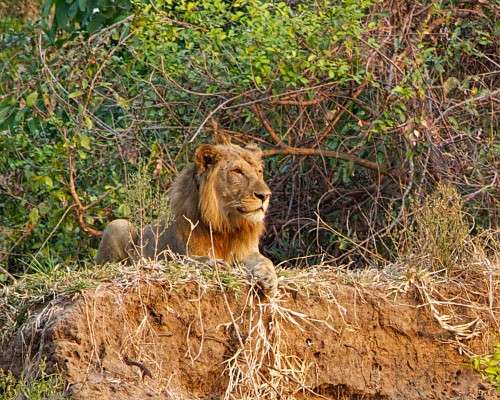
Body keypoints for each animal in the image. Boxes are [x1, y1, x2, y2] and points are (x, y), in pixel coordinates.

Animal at [95, 142, 280, 296]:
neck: (226, 224)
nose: (265, 195)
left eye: (259, 172)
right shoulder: (178, 253)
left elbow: (266, 261)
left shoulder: (248, 252)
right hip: (118, 225)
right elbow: (189, 260)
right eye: (237, 172)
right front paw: (214, 264)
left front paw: (268, 278)